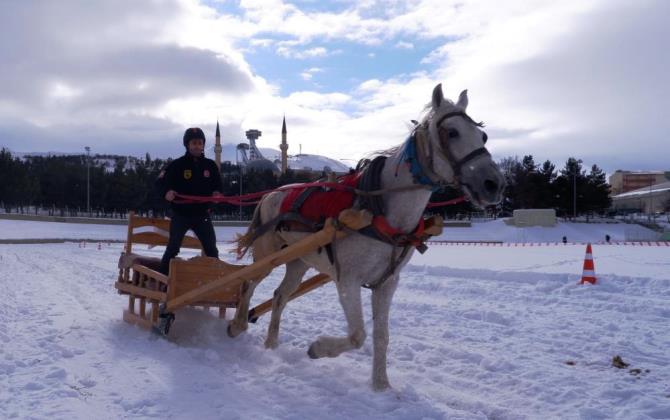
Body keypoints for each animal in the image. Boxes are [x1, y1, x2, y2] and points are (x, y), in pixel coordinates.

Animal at [231, 84, 504, 390]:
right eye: (452, 132)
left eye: (483, 135)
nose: (493, 184)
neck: (379, 208)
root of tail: (270, 194)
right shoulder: (348, 280)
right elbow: (357, 335)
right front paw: (318, 348)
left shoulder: (387, 283)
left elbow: (381, 337)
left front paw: (381, 385)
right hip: (267, 254)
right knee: (247, 283)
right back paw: (238, 325)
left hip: (298, 261)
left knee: (279, 296)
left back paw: (271, 344)